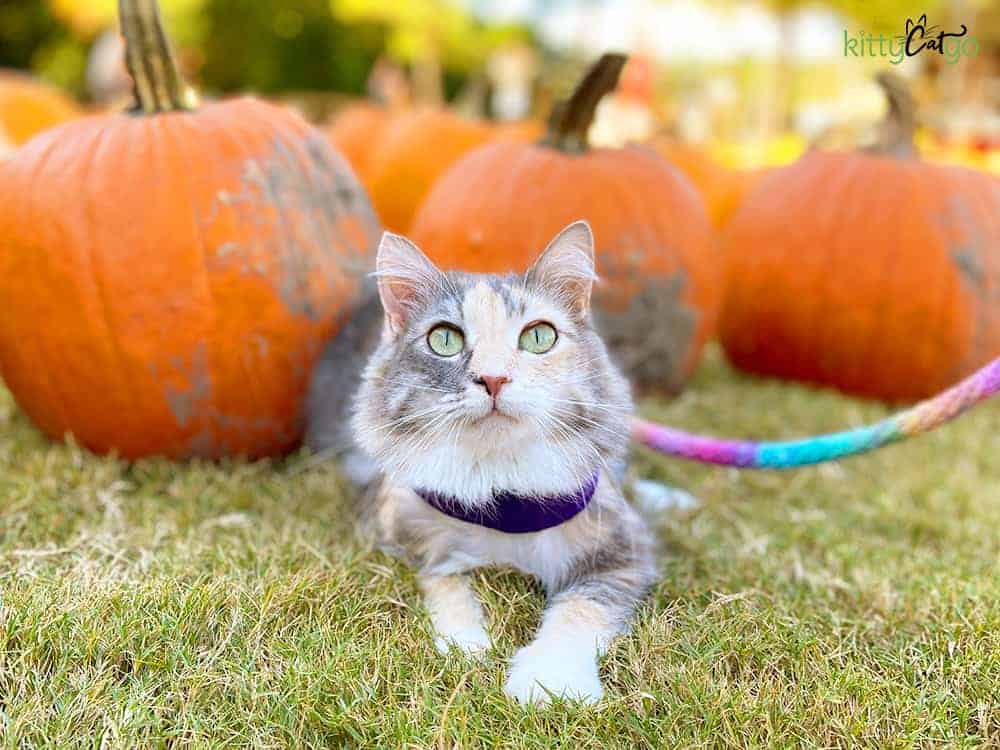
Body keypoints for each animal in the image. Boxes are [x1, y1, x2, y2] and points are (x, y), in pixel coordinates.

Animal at [306, 222, 680, 704]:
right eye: (444, 339)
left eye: (539, 337)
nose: (494, 378)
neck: (503, 492)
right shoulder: (394, 526)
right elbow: (444, 581)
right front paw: (467, 643)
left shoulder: (624, 551)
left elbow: (580, 610)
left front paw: (549, 680)